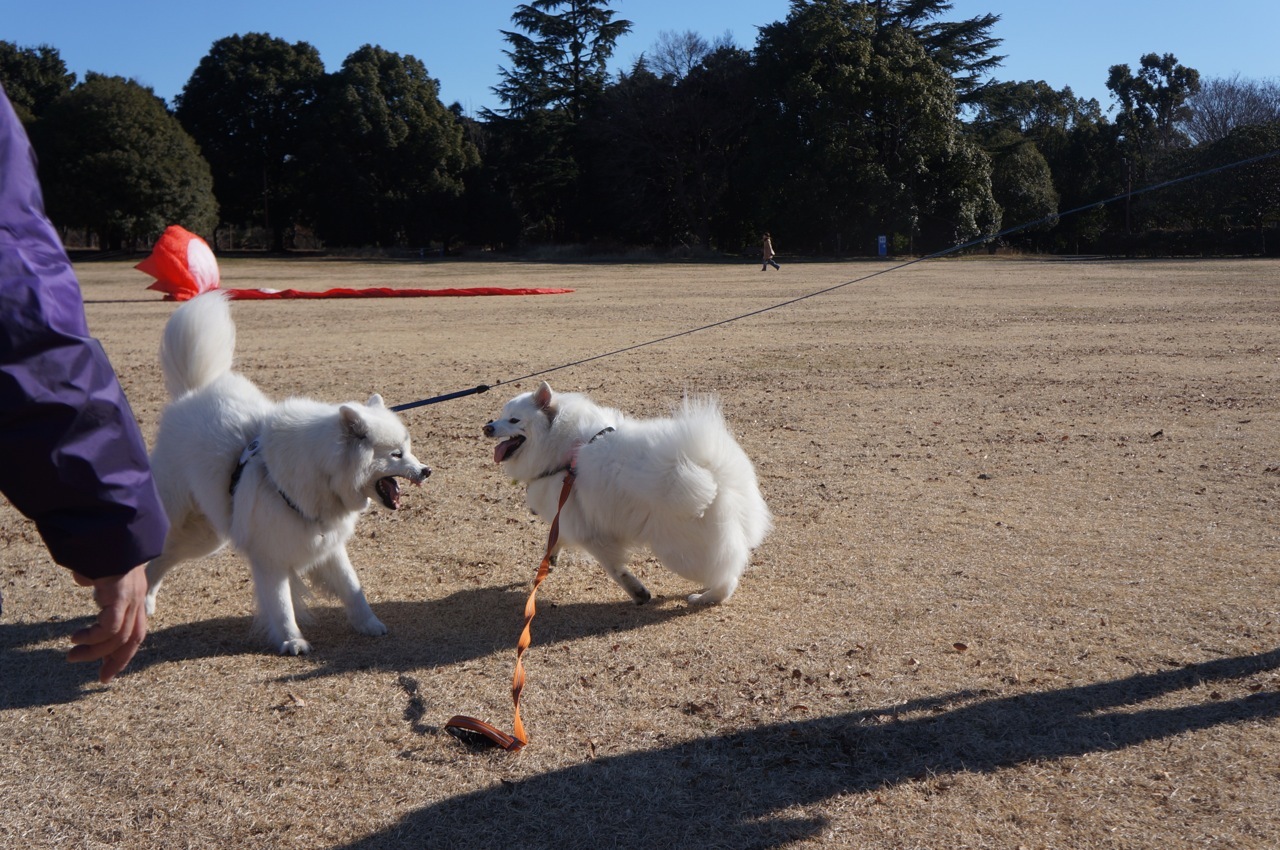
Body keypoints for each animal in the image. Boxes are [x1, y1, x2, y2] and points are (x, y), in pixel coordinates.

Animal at [142, 291, 427, 655]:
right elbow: (280, 603)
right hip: (181, 518)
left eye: (408, 448)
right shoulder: (270, 556)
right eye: (396, 454)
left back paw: (146, 603)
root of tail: (191, 393)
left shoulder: (328, 546)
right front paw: (292, 640)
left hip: (206, 536)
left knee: (161, 561)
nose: (426, 470)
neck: (322, 473)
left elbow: (352, 588)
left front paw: (369, 624)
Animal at [483, 381, 768, 606]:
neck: (563, 450)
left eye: (514, 420)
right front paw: (550, 559)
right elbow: (554, 539)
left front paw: (637, 592)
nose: (487, 427)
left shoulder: (589, 531)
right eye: (500, 415)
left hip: (678, 553)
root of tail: (715, 472)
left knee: (727, 577)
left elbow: (613, 568)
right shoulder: (567, 517)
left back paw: (705, 597)